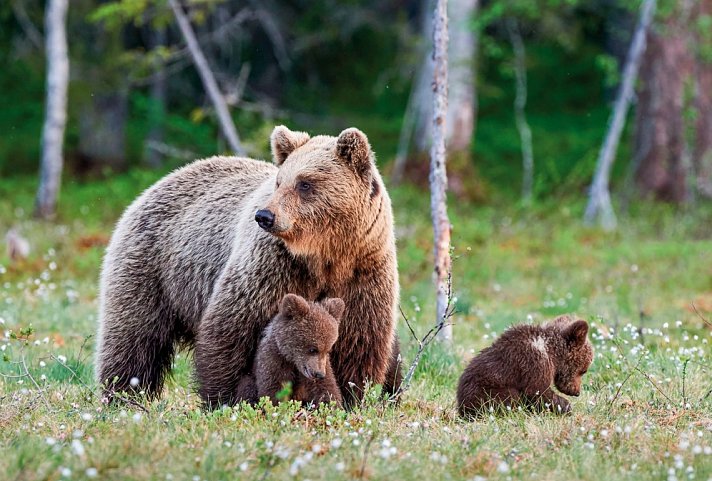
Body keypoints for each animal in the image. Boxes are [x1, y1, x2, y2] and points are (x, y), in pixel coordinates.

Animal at [96, 124, 400, 404]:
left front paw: (352, 396)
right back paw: (123, 392)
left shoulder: (362, 272)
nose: (265, 216)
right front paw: (227, 397)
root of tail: (161, 181)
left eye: (305, 183)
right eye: (279, 181)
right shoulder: (272, 267)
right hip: (154, 267)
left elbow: (358, 340)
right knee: (134, 337)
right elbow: (232, 328)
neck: (325, 255)